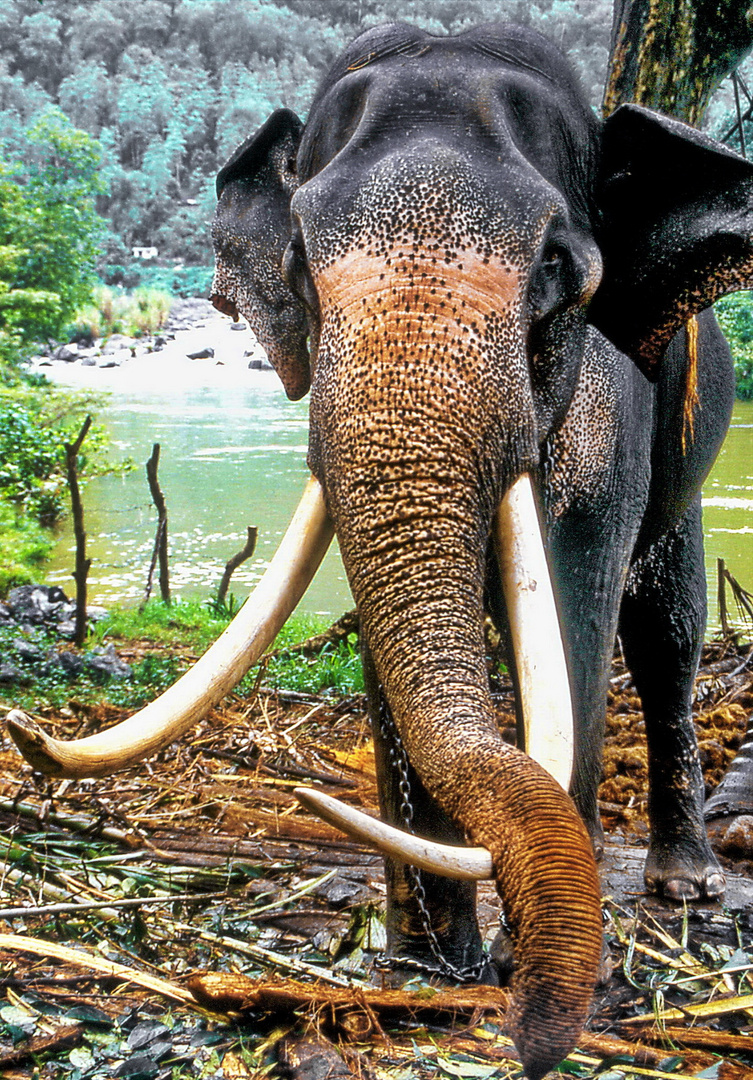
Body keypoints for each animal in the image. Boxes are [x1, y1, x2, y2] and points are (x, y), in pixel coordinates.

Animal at [8, 16, 751, 1080]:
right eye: (296, 268)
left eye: (557, 265)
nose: (531, 1041)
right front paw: (427, 971)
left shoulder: (611, 416)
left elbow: (574, 631)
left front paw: (526, 967)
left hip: (690, 446)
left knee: (665, 635)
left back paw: (682, 885)